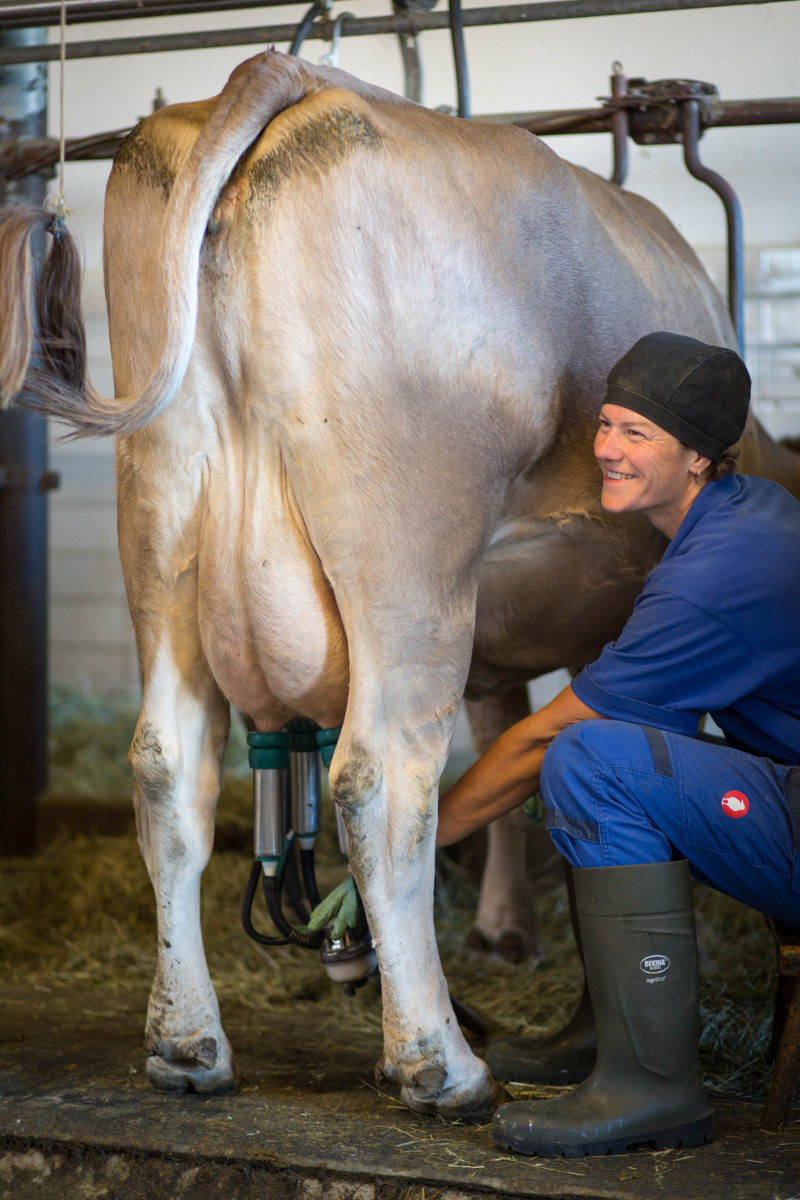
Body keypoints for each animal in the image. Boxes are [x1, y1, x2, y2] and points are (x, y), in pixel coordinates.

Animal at [3, 51, 796, 1123]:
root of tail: (283, 71)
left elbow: (510, 743)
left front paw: (506, 931)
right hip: (411, 557)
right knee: (382, 778)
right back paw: (439, 1063)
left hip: (160, 531)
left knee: (168, 767)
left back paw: (188, 1043)